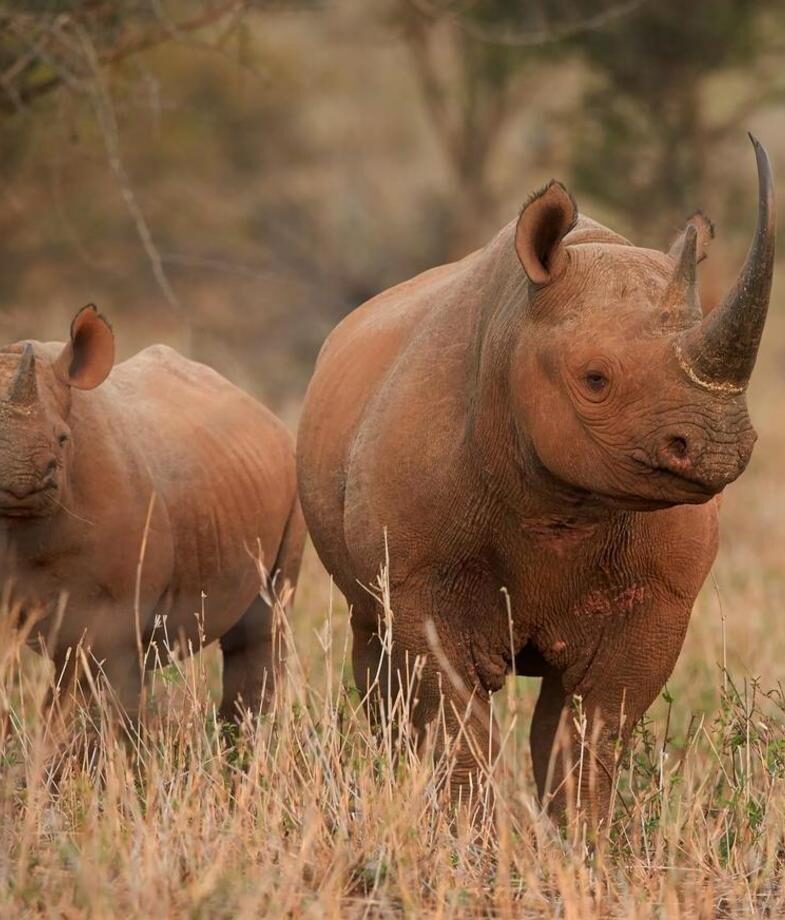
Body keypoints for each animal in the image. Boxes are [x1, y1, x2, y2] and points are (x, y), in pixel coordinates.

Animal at [0, 305, 304, 719]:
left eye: (63, 440)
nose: (20, 482)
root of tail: (263, 411)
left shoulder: (105, 611)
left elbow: (82, 686)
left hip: (291, 476)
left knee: (264, 622)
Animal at [297, 136, 775, 821]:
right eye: (595, 379)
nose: (720, 446)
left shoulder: (658, 599)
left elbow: (589, 733)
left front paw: (584, 841)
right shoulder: (417, 580)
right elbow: (455, 724)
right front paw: (469, 836)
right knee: (374, 653)